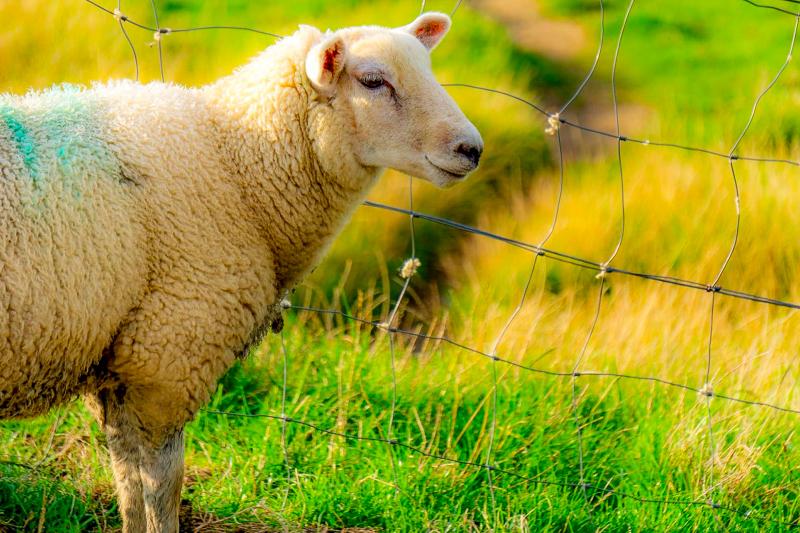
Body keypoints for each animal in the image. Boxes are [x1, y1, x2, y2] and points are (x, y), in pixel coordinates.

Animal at [0, 12, 482, 532]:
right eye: (373, 81)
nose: (471, 148)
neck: (237, 162)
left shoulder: (119, 367)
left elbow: (127, 482)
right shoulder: (168, 359)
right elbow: (162, 486)